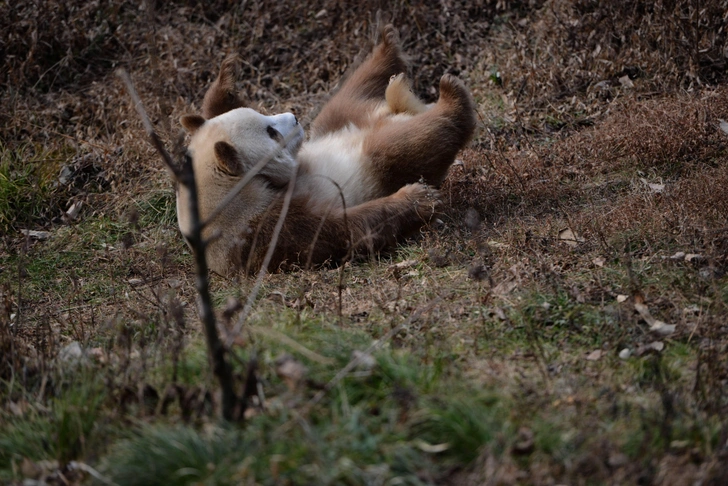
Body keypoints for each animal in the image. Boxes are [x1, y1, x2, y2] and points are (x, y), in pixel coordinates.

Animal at [177, 24, 478, 276]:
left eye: (264, 116)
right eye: (271, 132)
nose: (294, 118)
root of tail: (392, 112)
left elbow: (214, 110)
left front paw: (226, 75)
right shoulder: (257, 230)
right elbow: (341, 229)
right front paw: (419, 198)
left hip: (340, 120)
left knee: (350, 95)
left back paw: (388, 50)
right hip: (372, 158)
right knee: (396, 147)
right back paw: (450, 95)